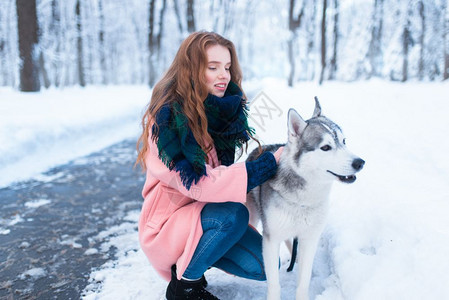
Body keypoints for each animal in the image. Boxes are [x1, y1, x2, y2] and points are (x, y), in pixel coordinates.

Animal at [245, 97, 364, 298]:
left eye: (344, 141)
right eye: (326, 147)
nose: (360, 162)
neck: (302, 200)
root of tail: (260, 149)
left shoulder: (310, 238)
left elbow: (303, 281)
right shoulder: (271, 240)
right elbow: (274, 284)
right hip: (253, 217)